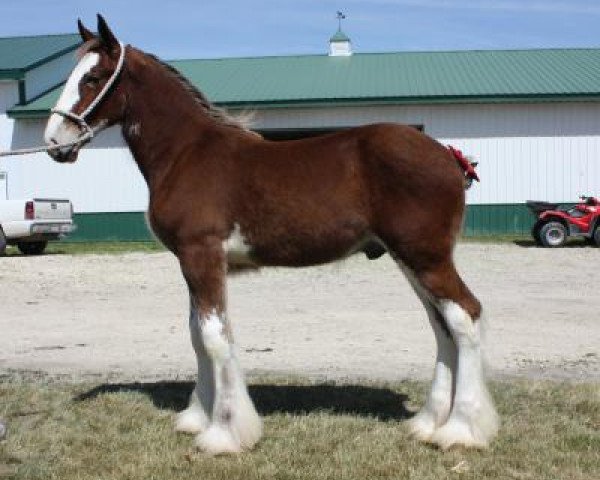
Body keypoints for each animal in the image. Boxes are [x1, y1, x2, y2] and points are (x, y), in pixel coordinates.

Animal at [44, 15, 500, 454]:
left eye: (92, 77)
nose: (54, 142)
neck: (187, 153)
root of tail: (448, 155)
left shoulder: (201, 254)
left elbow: (212, 336)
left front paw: (223, 434)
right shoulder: (194, 262)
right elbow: (197, 333)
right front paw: (197, 417)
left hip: (427, 258)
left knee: (465, 317)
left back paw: (460, 430)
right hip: (410, 260)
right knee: (441, 325)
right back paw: (428, 423)